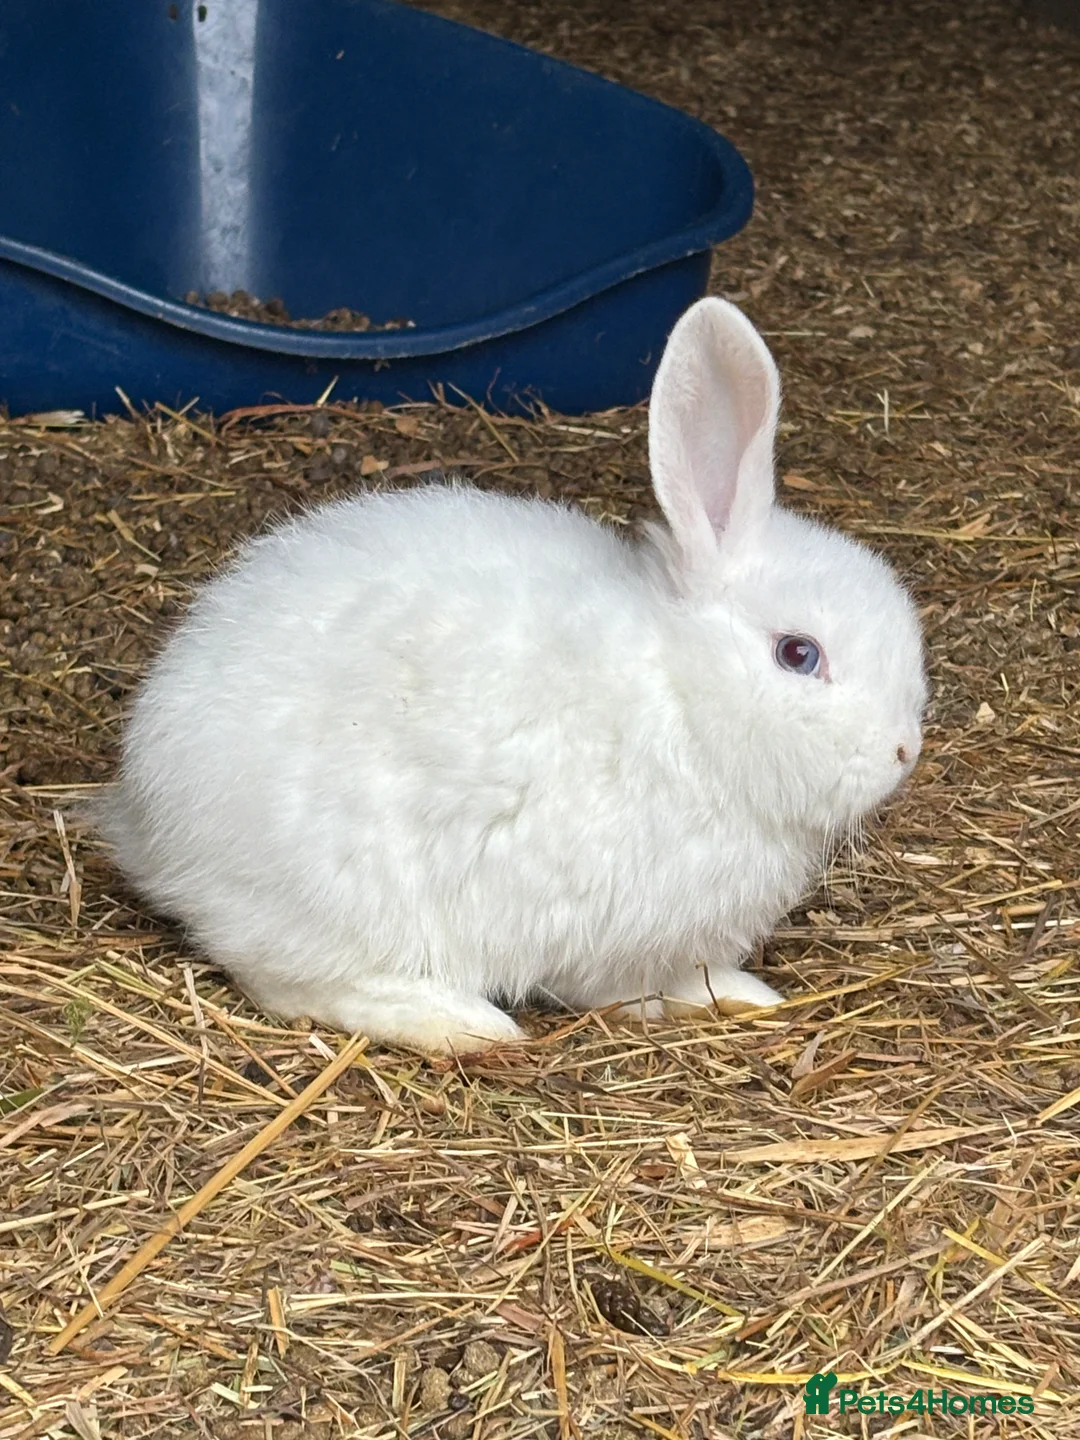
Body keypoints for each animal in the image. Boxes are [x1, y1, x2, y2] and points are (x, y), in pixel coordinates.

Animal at [99, 298, 927, 1054]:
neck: (683, 697)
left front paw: (743, 994)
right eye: (798, 654)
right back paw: (462, 1024)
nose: (903, 752)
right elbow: (616, 985)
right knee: (293, 982)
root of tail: (147, 812)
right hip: (338, 898)